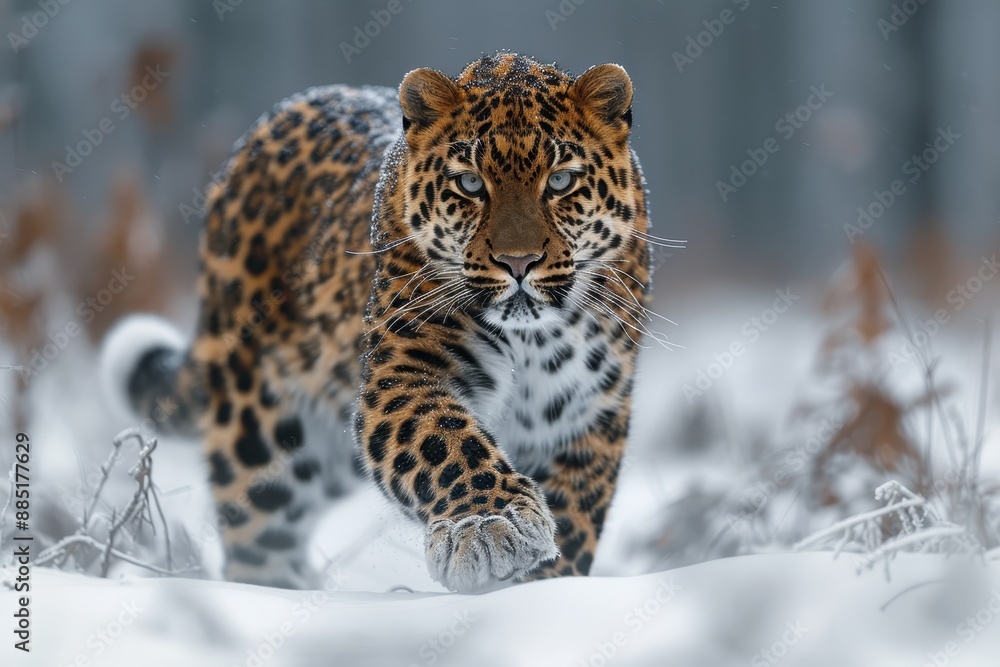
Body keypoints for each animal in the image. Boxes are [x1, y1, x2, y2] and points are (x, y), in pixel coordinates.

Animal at [101, 52, 657, 593]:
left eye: (561, 181)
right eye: (470, 183)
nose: (518, 262)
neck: (532, 341)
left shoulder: (586, 414)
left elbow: (575, 517)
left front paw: (540, 585)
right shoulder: (403, 371)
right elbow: (445, 441)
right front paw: (491, 527)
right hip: (258, 436)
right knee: (260, 542)